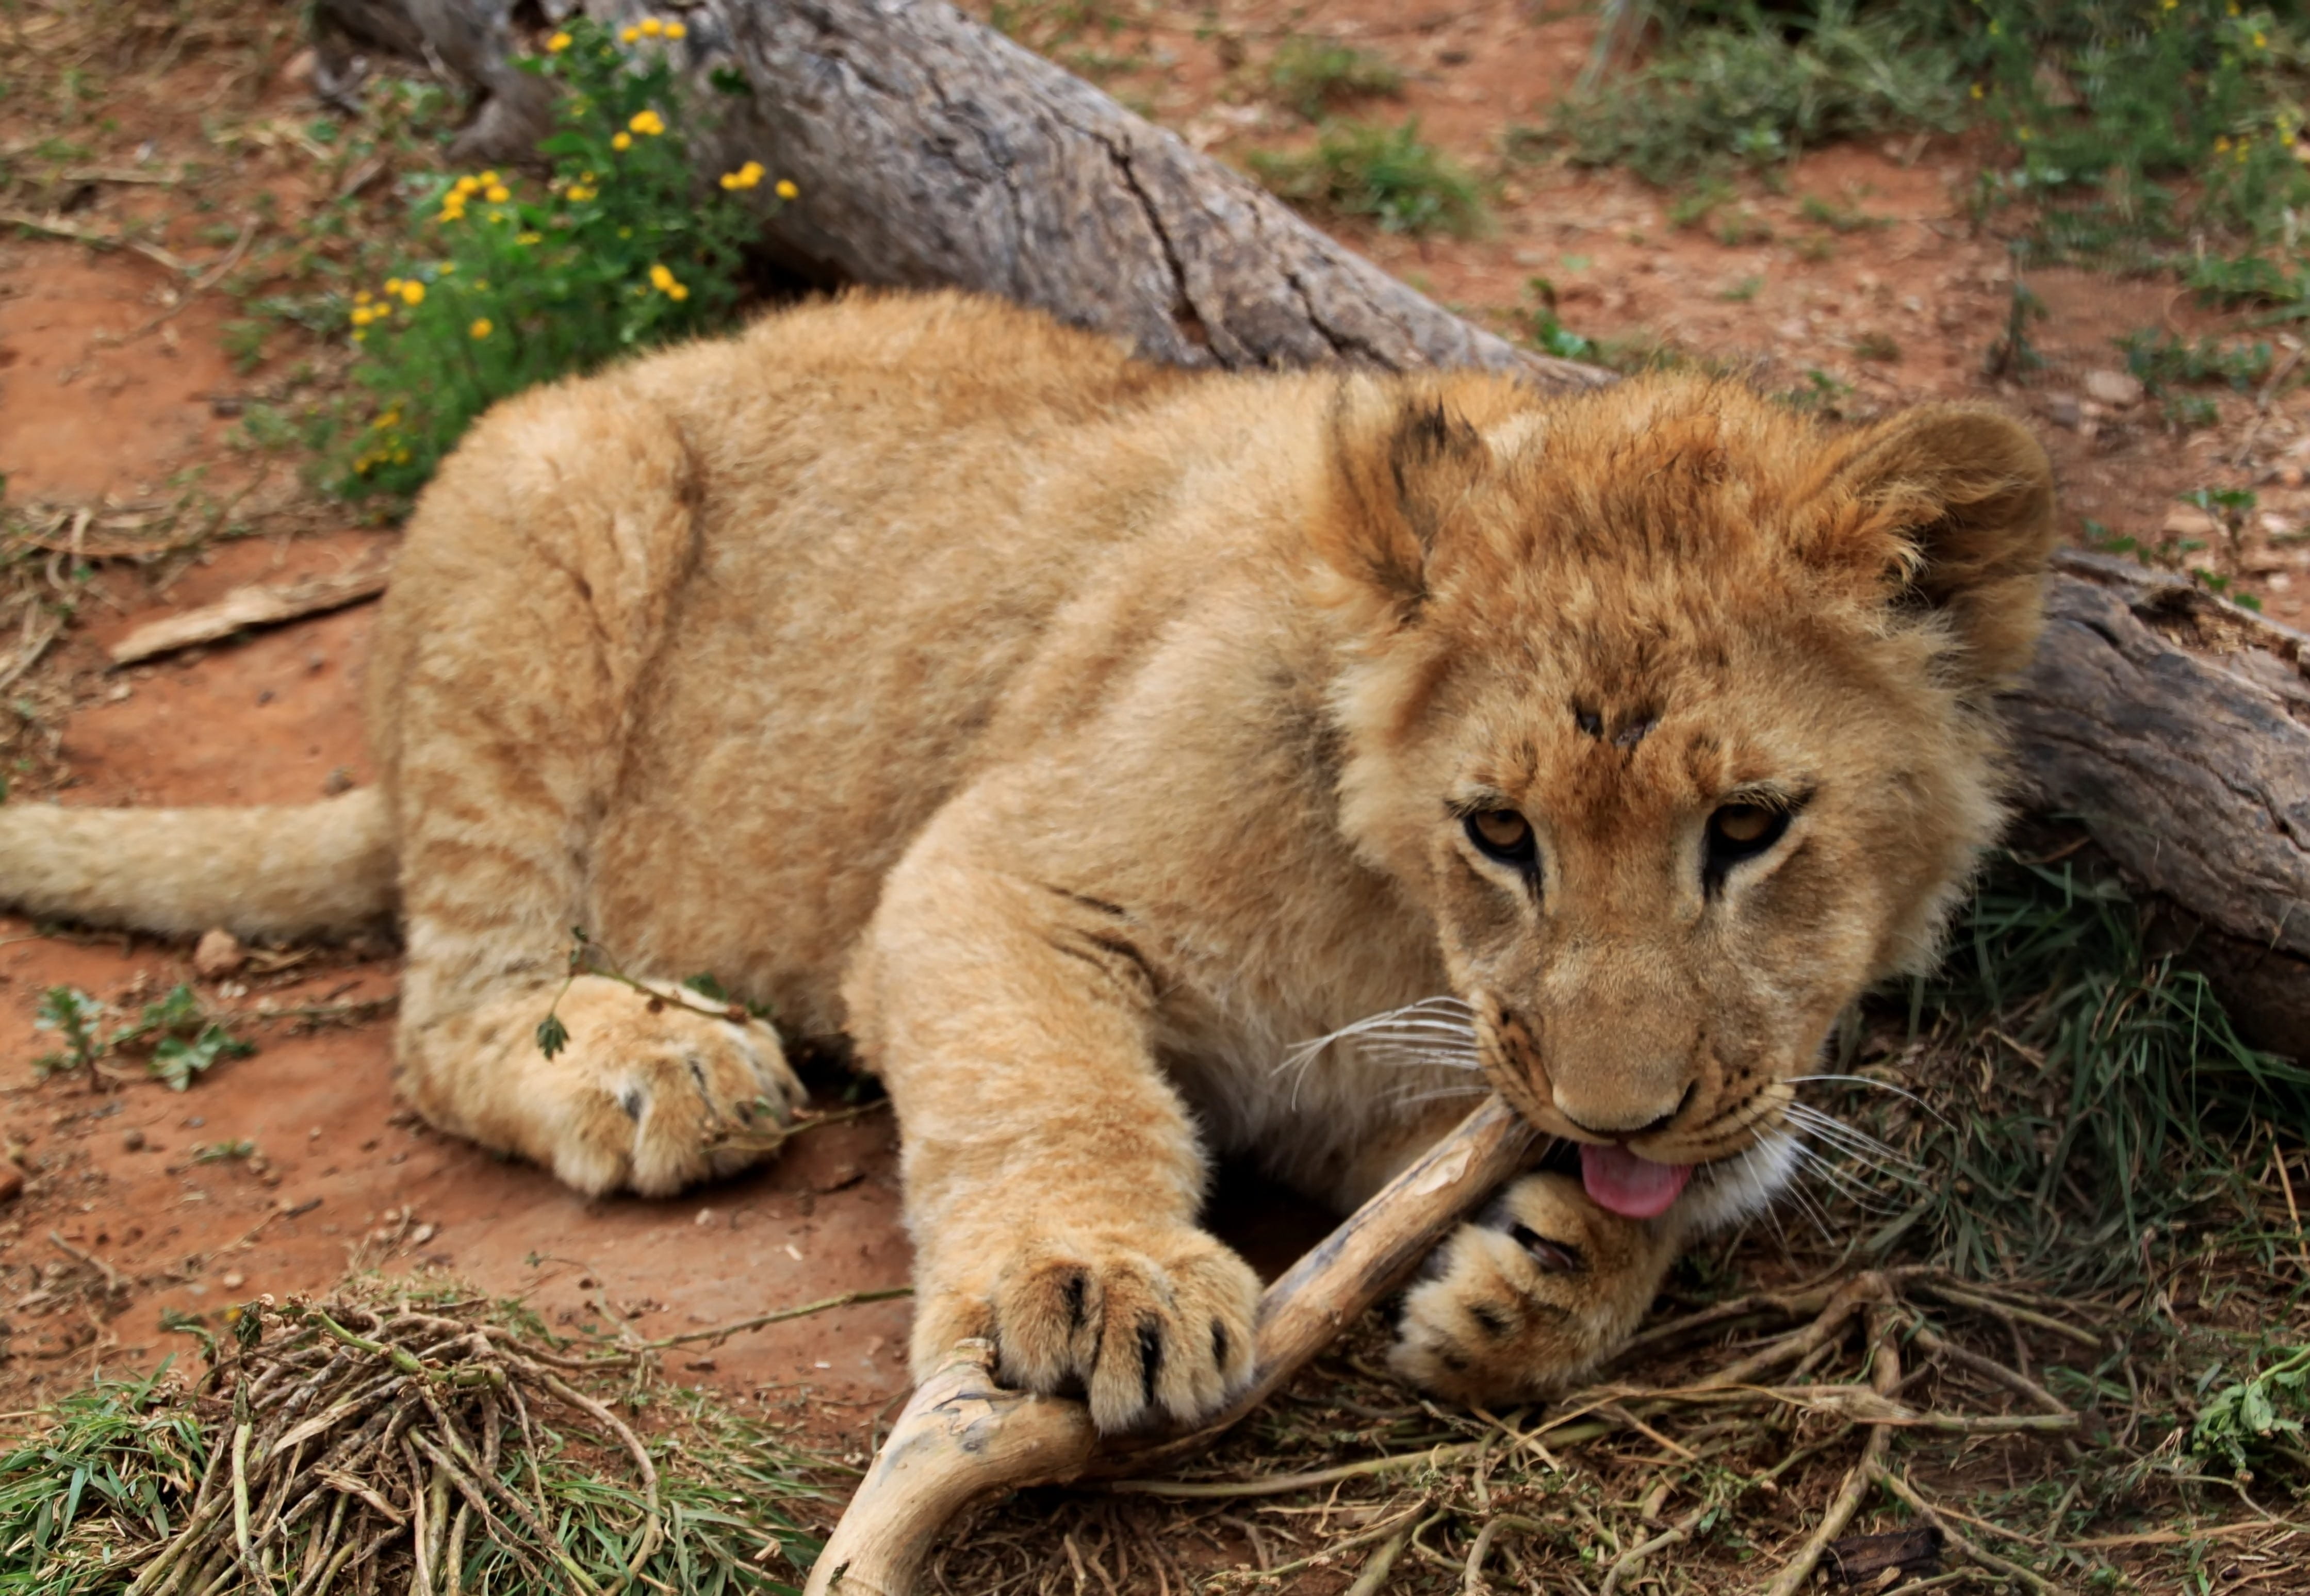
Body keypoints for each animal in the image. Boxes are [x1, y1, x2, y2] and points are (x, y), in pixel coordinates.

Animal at [0, 291, 2054, 1431]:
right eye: (1499, 830)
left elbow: (1702, 1152)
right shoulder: (991, 869)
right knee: (445, 1012)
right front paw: (1092, 1286)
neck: (1404, 932)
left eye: (1748, 829)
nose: (1619, 1121)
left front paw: (1551, 1275)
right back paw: (656, 1060)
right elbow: (1045, 1078)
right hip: (557, 495)